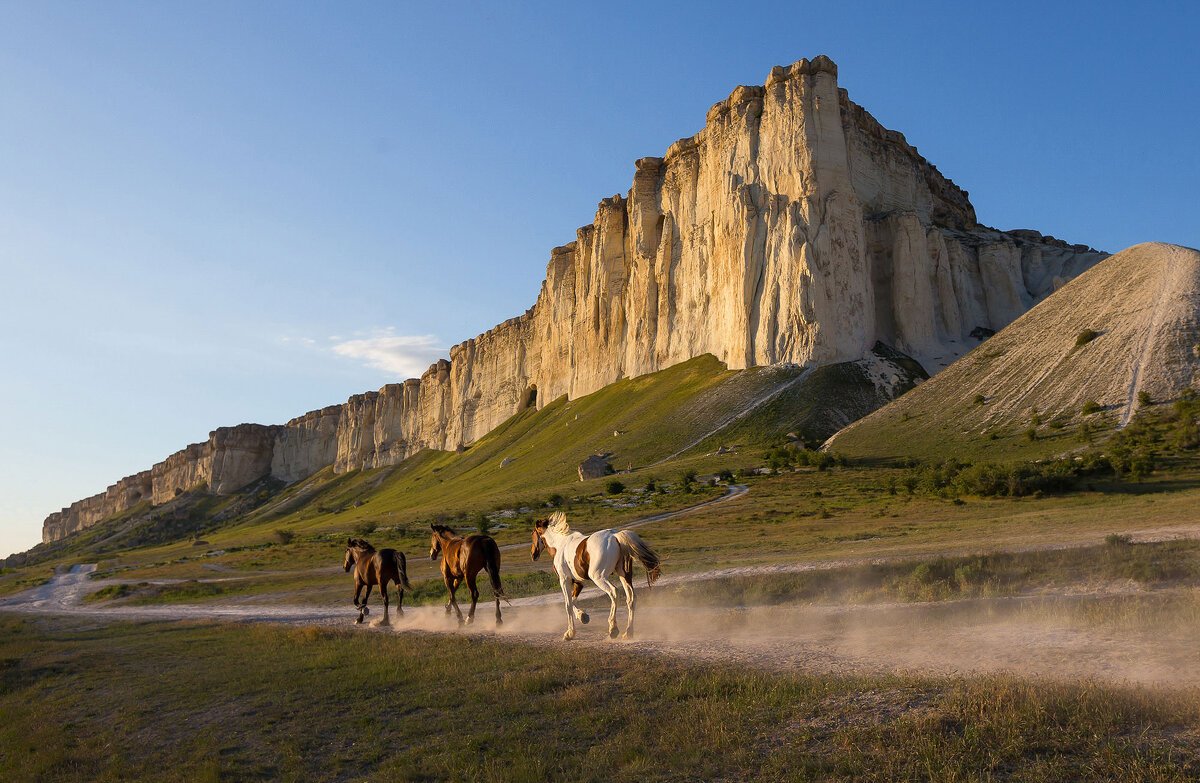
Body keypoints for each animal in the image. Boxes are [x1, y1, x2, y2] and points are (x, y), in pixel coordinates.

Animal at [530, 511, 667, 638]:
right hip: (624, 575)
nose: (533, 555)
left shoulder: (564, 579)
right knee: (631, 598)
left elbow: (568, 604)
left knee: (613, 592)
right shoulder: (579, 581)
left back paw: (613, 629)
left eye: (533, 534)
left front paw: (569, 633)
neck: (560, 545)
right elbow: (573, 600)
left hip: (598, 577)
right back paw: (628, 633)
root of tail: (615, 536)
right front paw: (583, 617)